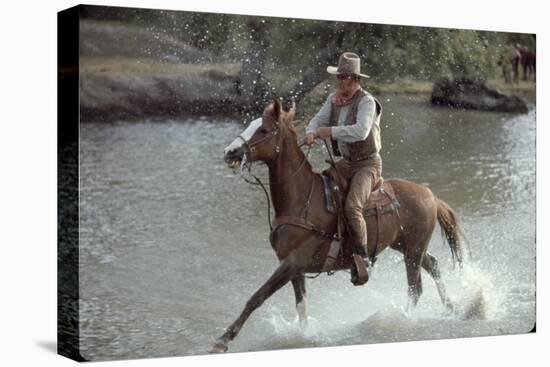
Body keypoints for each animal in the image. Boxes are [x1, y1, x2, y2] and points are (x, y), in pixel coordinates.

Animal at [215, 100, 466, 354]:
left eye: (263, 130)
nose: (229, 152)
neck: (303, 199)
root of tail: (430, 195)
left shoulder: (292, 262)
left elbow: (258, 296)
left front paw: (224, 339)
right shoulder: (294, 267)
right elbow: (301, 306)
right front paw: (304, 335)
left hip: (413, 250)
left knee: (415, 287)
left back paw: (404, 319)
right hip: (406, 246)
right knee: (433, 265)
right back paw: (450, 308)